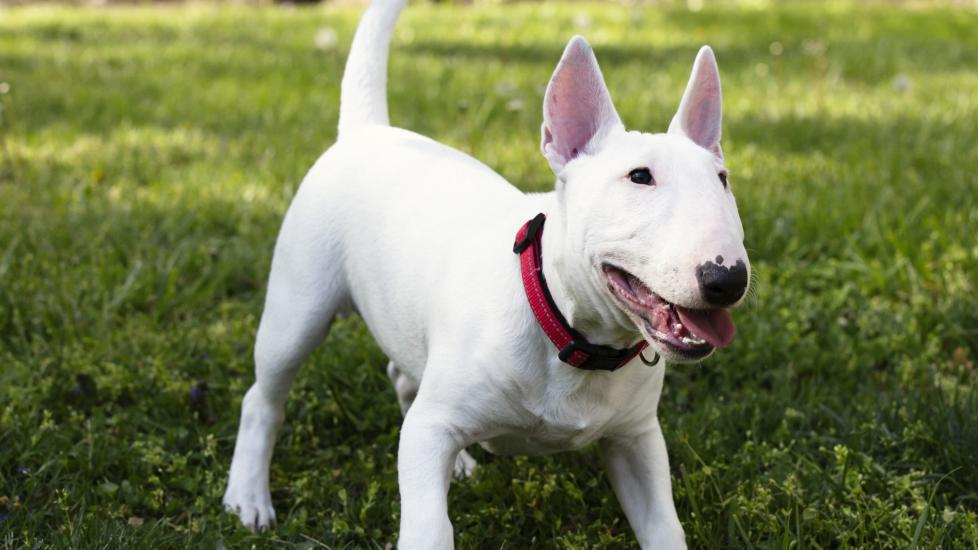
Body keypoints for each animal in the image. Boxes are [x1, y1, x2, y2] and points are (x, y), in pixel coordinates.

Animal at [223, 0, 748, 548]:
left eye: (722, 180)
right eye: (639, 176)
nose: (728, 280)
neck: (567, 329)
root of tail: (367, 130)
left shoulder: (636, 439)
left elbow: (664, 525)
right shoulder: (429, 431)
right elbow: (430, 523)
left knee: (402, 375)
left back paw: (458, 465)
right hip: (298, 307)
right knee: (263, 397)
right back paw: (248, 496)